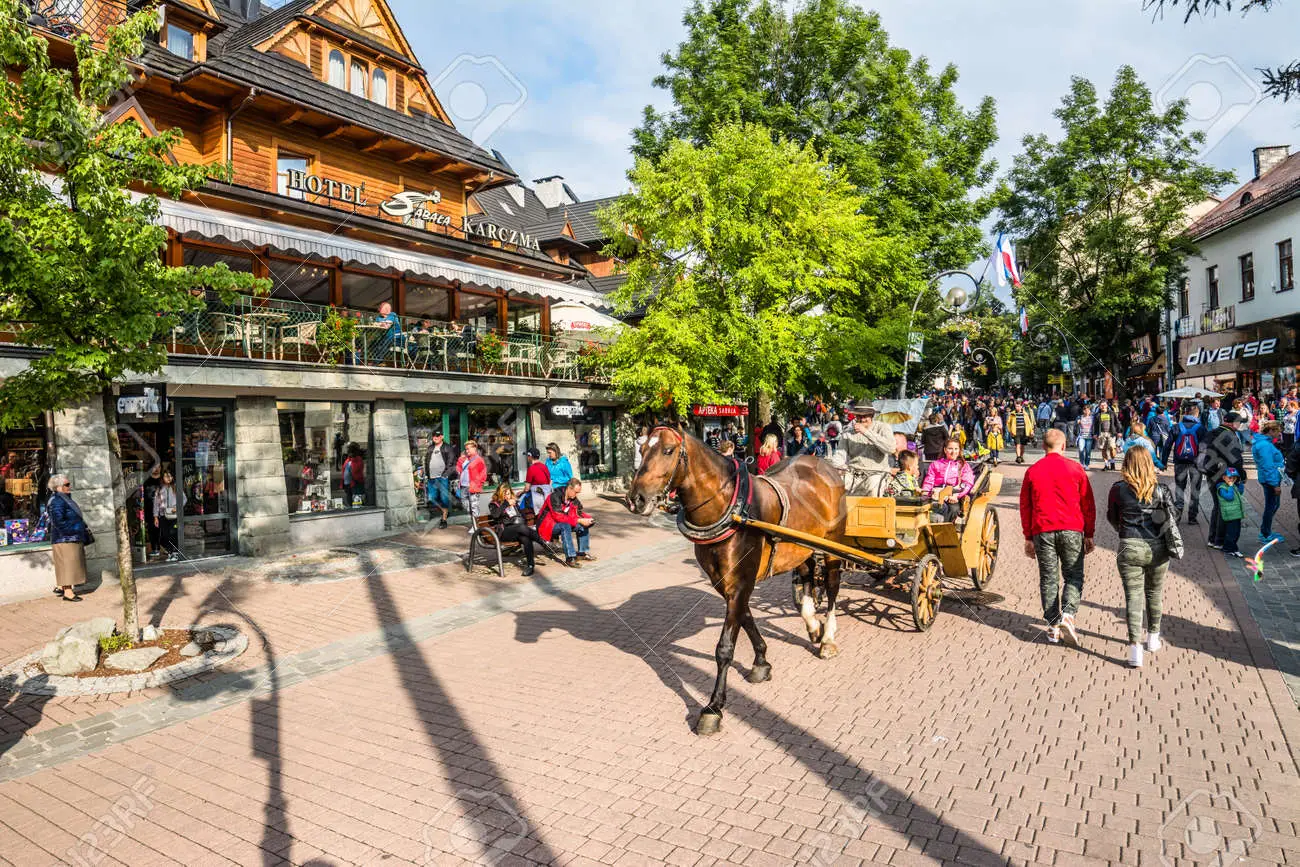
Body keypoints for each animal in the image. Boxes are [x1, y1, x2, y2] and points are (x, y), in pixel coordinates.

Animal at [624, 423, 847, 738]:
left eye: (667, 450)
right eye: (641, 449)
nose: (636, 499)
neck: (729, 509)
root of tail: (825, 467)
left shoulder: (740, 583)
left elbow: (725, 647)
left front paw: (713, 706)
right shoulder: (726, 583)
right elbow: (746, 618)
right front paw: (761, 661)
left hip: (832, 544)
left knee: (832, 585)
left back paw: (827, 637)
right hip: (800, 544)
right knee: (805, 573)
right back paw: (812, 624)